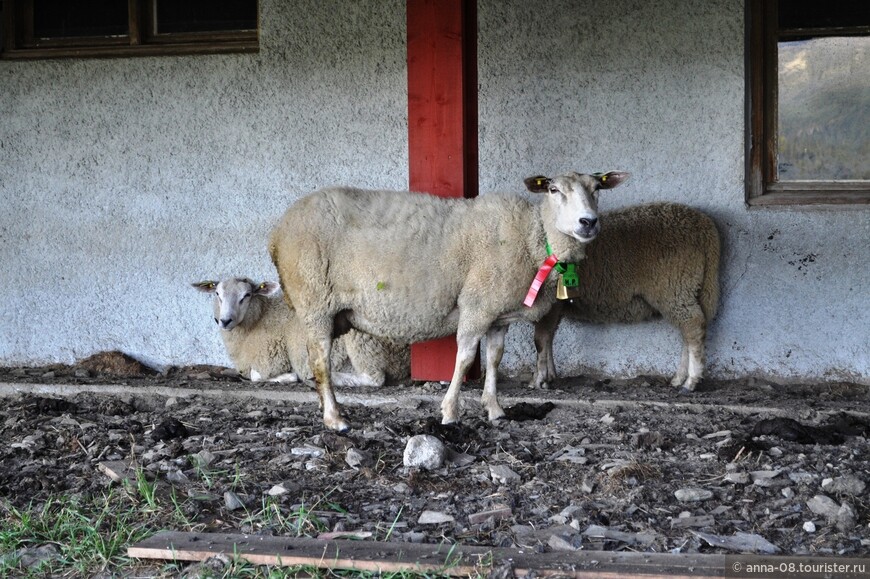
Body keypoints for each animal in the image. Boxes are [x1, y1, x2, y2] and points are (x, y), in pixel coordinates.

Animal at [191, 278, 408, 388]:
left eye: (247, 295)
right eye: (217, 294)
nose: (225, 321)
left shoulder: (271, 359)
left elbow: (256, 376)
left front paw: (288, 377)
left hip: (363, 342)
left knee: (375, 379)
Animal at [270, 172, 632, 430]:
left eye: (597, 188)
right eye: (554, 190)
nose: (588, 222)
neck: (533, 236)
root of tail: (277, 231)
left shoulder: (496, 314)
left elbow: (494, 359)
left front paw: (495, 409)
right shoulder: (476, 305)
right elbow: (465, 357)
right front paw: (450, 412)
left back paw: (326, 408)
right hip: (315, 300)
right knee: (320, 360)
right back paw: (335, 419)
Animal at [532, 202, 724, 392]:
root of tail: (705, 226)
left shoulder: (549, 304)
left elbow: (541, 338)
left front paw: (540, 379)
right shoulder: (555, 306)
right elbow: (549, 337)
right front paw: (550, 375)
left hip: (675, 287)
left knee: (694, 326)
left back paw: (691, 381)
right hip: (685, 291)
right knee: (689, 331)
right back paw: (679, 379)